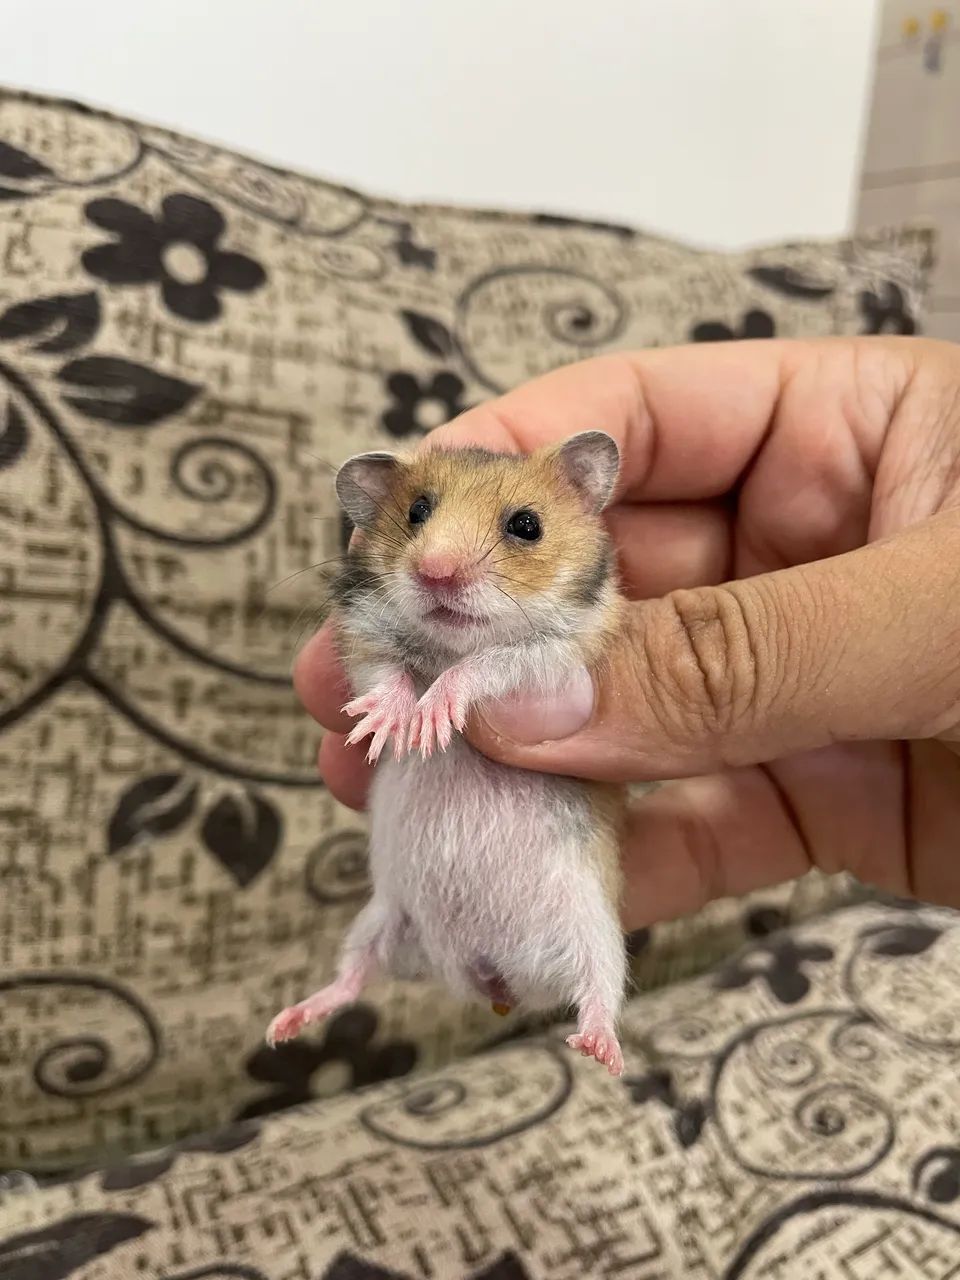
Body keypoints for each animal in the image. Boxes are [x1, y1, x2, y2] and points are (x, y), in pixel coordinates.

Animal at [267, 431, 629, 1074]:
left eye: (527, 525)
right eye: (417, 512)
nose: (434, 572)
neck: (449, 642)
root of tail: (495, 980)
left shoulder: (553, 660)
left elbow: (484, 665)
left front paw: (432, 718)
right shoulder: (362, 639)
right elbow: (386, 673)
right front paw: (391, 726)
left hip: (597, 930)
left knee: (598, 991)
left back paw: (599, 1051)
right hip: (381, 919)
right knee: (351, 978)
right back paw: (286, 1023)